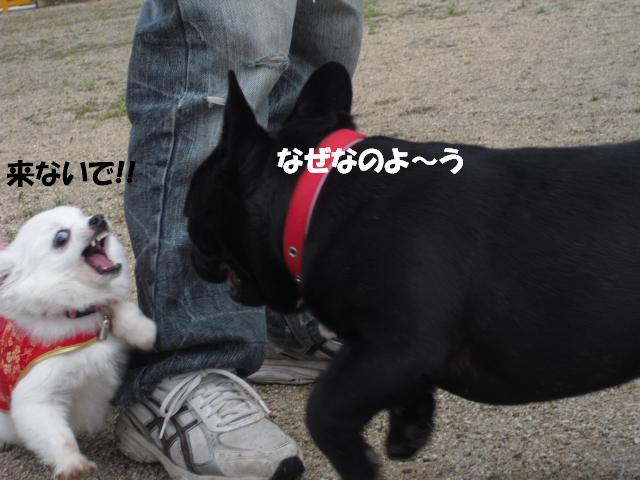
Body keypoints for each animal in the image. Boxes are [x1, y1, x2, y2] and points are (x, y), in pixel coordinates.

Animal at [0, 206, 156, 480]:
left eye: (82, 214)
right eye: (61, 238)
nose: (97, 219)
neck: (72, 314)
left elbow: (118, 308)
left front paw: (144, 332)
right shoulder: (37, 398)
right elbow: (57, 436)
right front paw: (74, 466)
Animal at [184, 62, 640, 479]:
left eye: (189, 210)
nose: (187, 247)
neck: (315, 200)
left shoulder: (398, 346)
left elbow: (322, 408)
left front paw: (359, 462)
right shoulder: (388, 357)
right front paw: (410, 427)